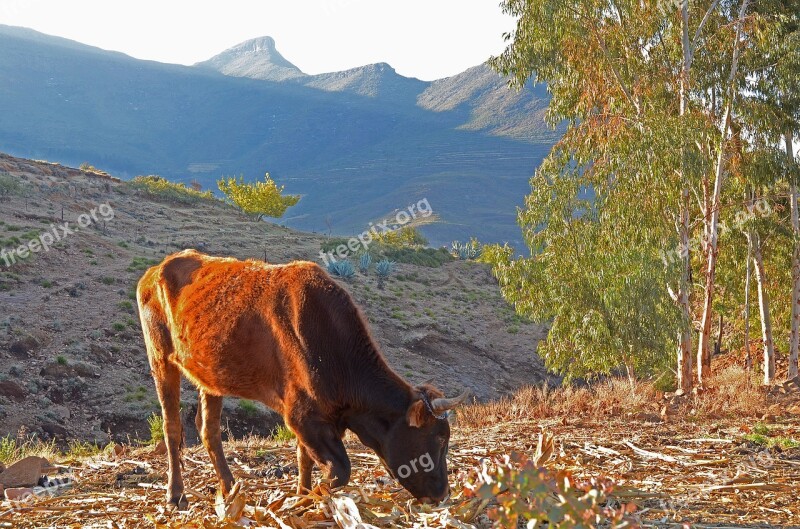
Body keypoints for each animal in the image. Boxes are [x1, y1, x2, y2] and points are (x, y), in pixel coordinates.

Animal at [134, 250, 466, 510]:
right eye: (439, 438)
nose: (443, 494)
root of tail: (155, 270)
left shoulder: (310, 416)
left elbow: (305, 458)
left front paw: (302, 494)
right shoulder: (302, 416)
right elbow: (339, 471)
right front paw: (302, 500)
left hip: (209, 375)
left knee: (209, 430)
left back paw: (229, 490)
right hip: (160, 359)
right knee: (172, 427)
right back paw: (175, 496)